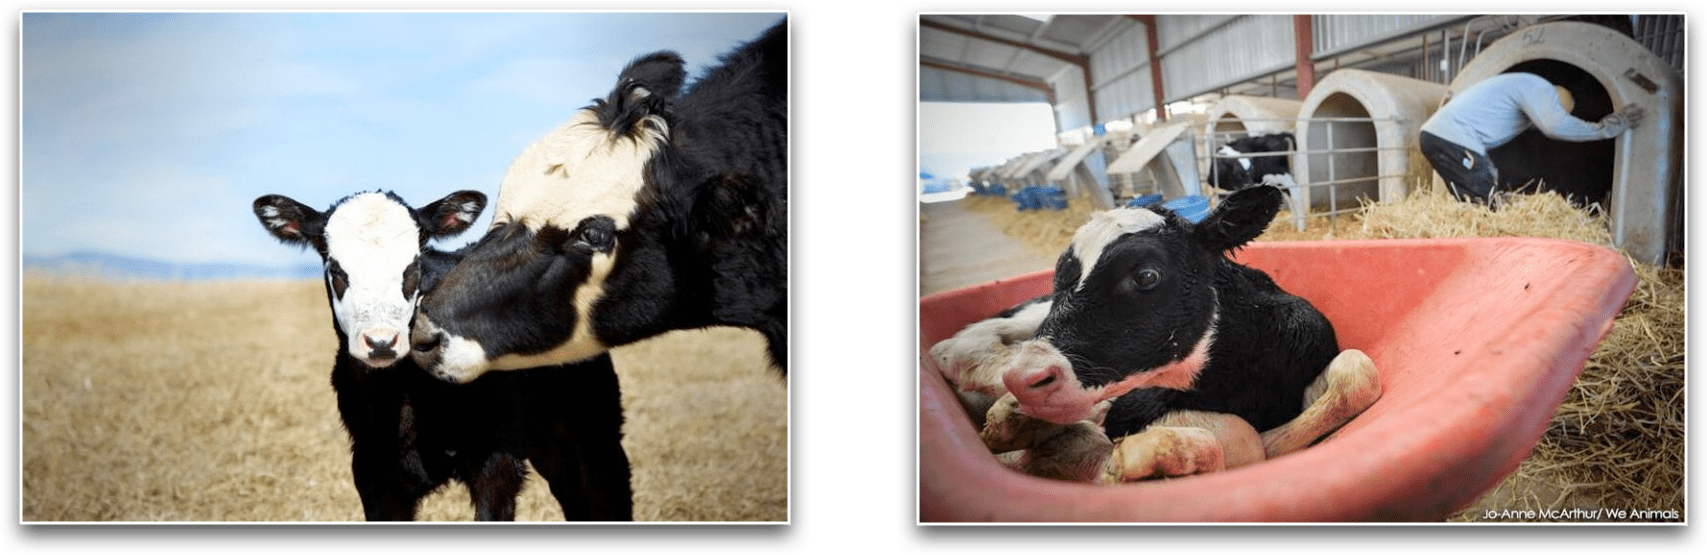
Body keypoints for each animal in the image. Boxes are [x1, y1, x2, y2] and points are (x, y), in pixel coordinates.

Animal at [253, 190, 632, 520]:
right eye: (335, 269)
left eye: (414, 266)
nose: (381, 342)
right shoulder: (372, 471)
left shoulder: (497, 463)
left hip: (593, 432)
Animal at [930, 185, 1380, 482]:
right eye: (1060, 276)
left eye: (1146, 275)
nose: (1026, 379)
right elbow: (1237, 438)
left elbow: (1357, 371)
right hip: (1024, 319)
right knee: (960, 347)